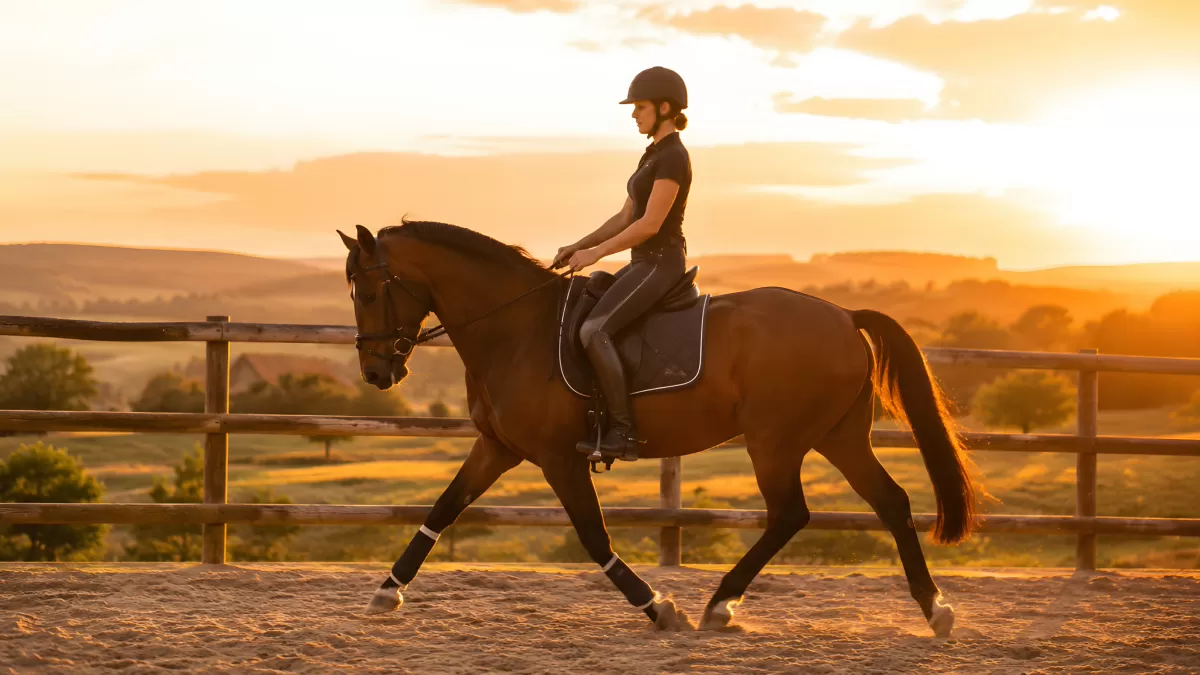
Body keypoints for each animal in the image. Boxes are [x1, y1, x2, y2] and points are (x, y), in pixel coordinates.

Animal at [340, 220, 978, 636]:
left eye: (368, 292)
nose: (376, 372)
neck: (516, 330)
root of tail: (844, 316)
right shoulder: (497, 447)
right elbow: (444, 508)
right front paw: (386, 590)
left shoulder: (559, 458)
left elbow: (594, 536)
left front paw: (657, 607)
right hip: (837, 436)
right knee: (890, 502)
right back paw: (935, 609)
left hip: (775, 441)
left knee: (791, 514)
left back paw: (720, 605)